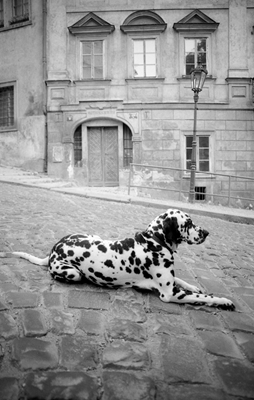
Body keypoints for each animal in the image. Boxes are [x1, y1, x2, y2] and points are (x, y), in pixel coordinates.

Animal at [0, 209, 234, 310]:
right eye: (189, 223)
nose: (207, 232)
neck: (154, 240)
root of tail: (53, 250)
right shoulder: (170, 294)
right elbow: (205, 298)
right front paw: (224, 301)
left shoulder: (171, 281)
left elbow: (185, 282)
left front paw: (196, 287)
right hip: (72, 273)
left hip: (93, 235)